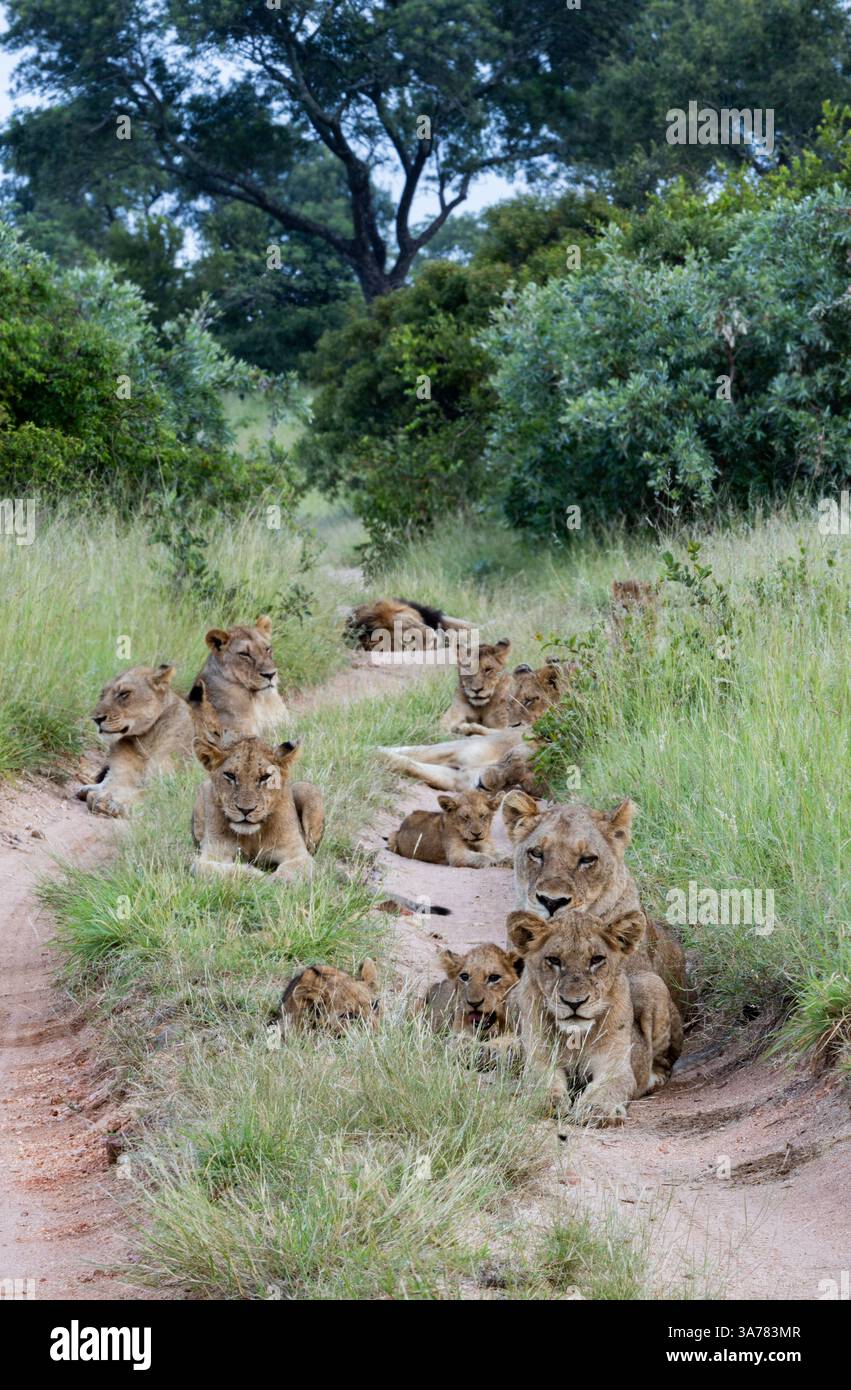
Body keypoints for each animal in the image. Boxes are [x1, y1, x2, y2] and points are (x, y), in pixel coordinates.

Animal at [76, 664, 195, 817]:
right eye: (102, 695)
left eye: (124, 694)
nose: (96, 719)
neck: (145, 742)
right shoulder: (120, 775)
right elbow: (114, 784)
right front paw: (100, 795)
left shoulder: (172, 786)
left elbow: (144, 794)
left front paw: (110, 802)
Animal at [191, 733, 324, 879]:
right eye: (230, 775)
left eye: (265, 777)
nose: (245, 810)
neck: (252, 836)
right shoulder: (212, 853)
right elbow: (212, 868)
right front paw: (258, 876)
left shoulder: (299, 855)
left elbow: (289, 872)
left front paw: (273, 880)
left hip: (307, 790)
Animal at [507, 908, 679, 1123]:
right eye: (554, 960)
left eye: (596, 959)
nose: (574, 1002)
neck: (575, 1036)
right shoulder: (540, 1061)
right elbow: (542, 1083)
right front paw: (546, 1103)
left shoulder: (615, 1065)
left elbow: (606, 1088)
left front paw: (597, 1109)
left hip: (652, 983)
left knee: (663, 1063)